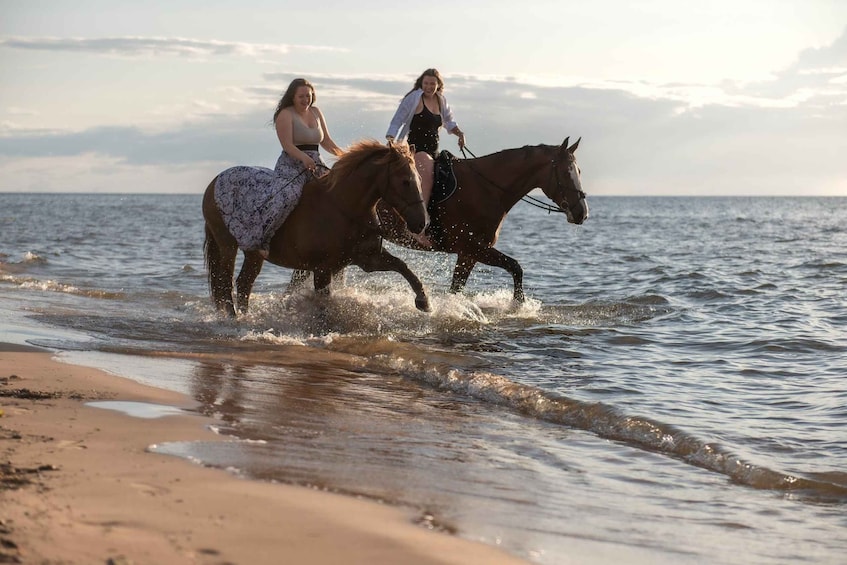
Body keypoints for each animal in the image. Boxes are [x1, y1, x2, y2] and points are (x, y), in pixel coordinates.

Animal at [202, 140, 431, 317]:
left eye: (420, 179)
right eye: (405, 181)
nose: (421, 223)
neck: (343, 207)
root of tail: (213, 184)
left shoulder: (368, 259)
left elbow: (403, 267)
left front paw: (424, 301)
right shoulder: (322, 268)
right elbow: (323, 301)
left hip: (253, 254)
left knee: (243, 284)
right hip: (228, 246)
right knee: (225, 283)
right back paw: (233, 319)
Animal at [376, 137, 588, 302]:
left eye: (579, 171)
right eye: (566, 172)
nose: (582, 213)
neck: (486, 188)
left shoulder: (469, 254)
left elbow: (456, 289)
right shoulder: (472, 246)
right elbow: (515, 267)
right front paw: (518, 305)